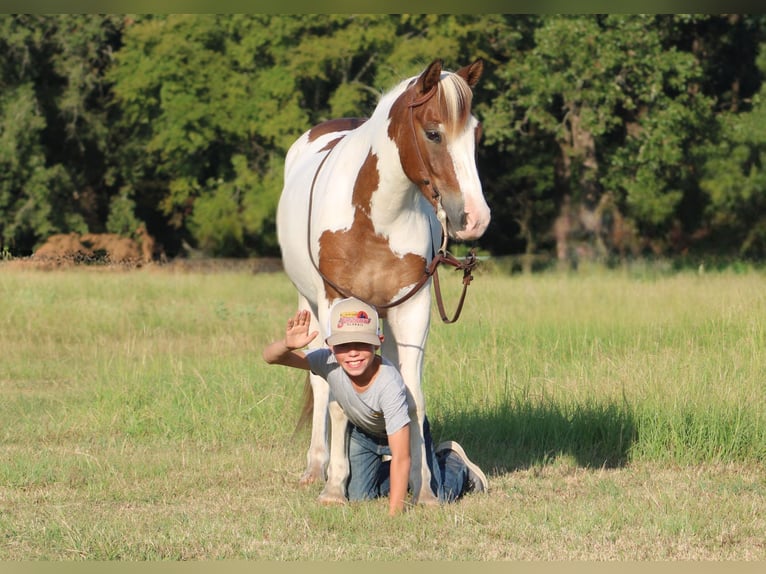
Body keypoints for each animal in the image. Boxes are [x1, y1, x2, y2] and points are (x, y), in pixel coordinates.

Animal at [277, 58, 490, 506]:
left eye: (476, 133)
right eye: (433, 132)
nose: (474, 218)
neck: (376, 219)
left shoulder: (413, 307)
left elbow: (412, 399)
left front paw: (424, 490)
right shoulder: (335, 302)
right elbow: (337, 398)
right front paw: (335, 488)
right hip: (310, 305)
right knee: (319, 385)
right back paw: (316, 468)